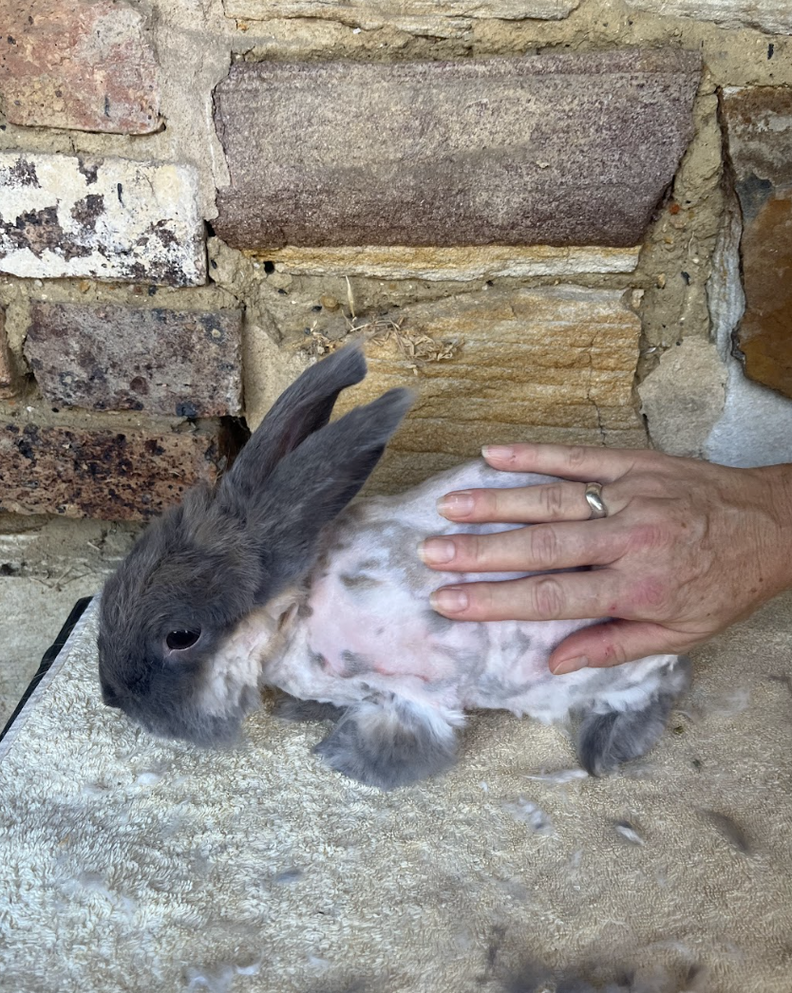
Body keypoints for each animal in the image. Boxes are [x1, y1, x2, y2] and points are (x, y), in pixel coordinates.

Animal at [98, 343, 690, 790]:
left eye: (181, 636)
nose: (112, 697)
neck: (294, 612)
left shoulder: (416, 688)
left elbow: (409, 740)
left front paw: (340, 758)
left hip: (607, 669)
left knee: (647, 698)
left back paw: (604, 750)